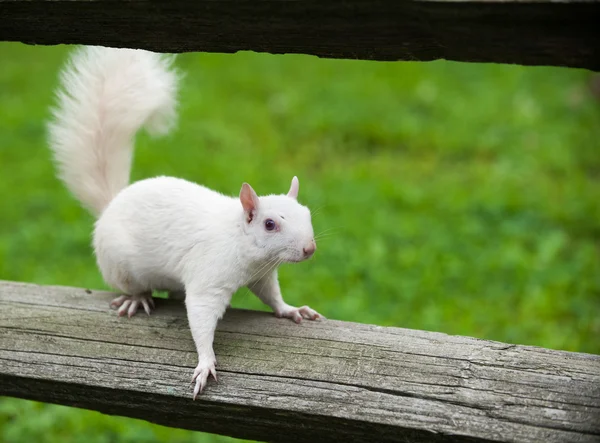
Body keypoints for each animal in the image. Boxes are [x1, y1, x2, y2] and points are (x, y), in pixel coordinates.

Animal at [47, 46, 324, 400]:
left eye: (307, 214)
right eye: (270, 224)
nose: (309, 248)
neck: (241, 243)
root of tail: (111, 204)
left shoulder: (262, 274)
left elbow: (271, 296)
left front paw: (291, 309)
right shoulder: (208, 278)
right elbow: (201, 317)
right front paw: (205, 363)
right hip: (119, 264)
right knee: (134, 286)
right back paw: (138, 298)